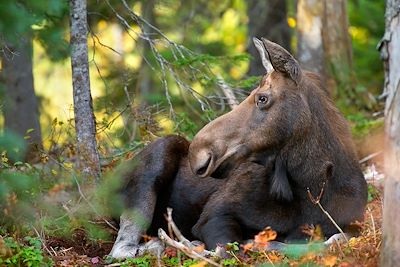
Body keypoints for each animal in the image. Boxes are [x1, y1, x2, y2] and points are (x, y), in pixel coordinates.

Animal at [108, 38, 368, 260]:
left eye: (262, 98)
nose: (199, 152)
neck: (313, 188)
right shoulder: (214, 216)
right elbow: (230, 249)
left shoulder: (351, 225)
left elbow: (334, 239)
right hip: (157, 157)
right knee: (121, 248)